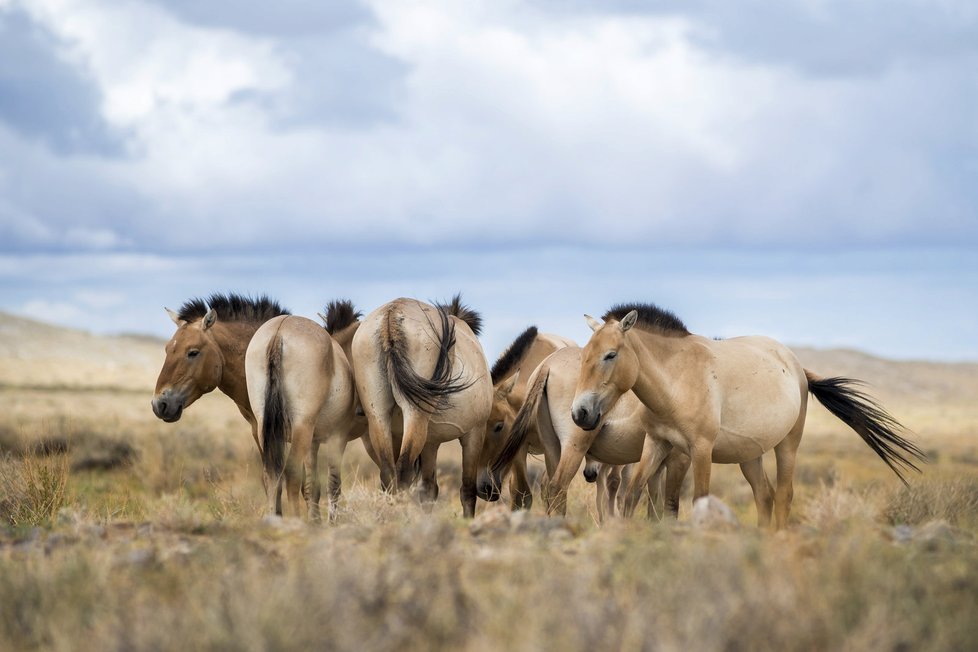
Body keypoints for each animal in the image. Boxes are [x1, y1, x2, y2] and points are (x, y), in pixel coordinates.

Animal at [248, 314, 362, 524]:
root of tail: (279, 332)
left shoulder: (313, 443)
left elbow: (312, 486)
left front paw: (317, 521)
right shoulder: (337, 438)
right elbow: (333, 485)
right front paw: (330, 523)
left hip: (265, 428)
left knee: (271, 475)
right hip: (302, 428)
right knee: (291, 474)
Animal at [350, 298, 492, 516]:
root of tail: (392, 314)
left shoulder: (430, 443)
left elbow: (429, 490)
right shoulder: (474, 432)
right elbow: (467, 490)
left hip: (378, 416)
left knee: (388, 473)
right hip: (415, 414)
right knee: (403, 471)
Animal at [568, 304, 928, 528]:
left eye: (610, 355)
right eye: (584, 356)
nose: (580, 413)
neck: (678, 378)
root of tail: (796, 366)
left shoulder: (699, 450)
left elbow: (697, 500)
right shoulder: (657, 444)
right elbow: (633, 496)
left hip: (788, 445)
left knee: (783, 495)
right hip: (750, 456)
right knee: (764, 496)